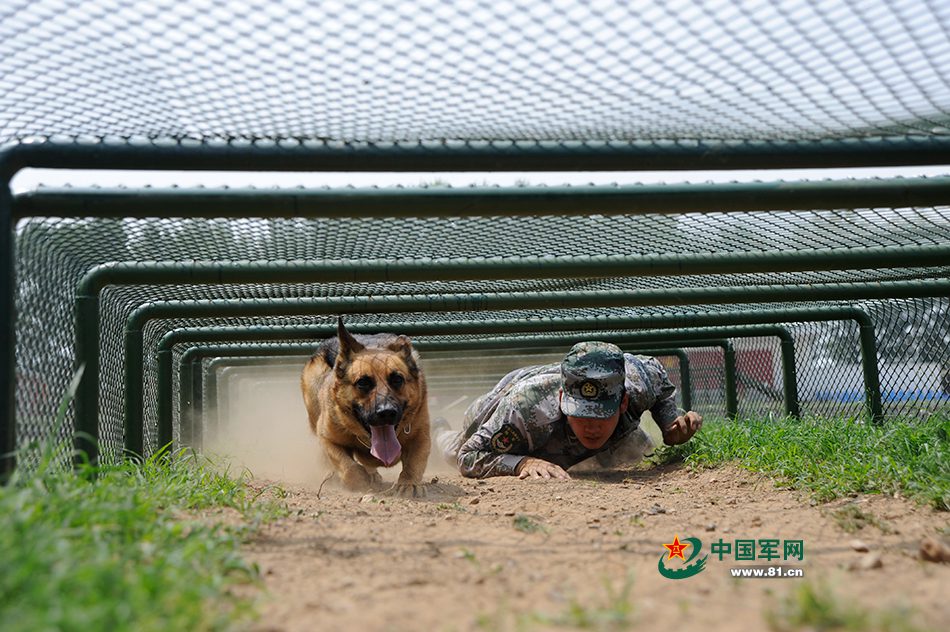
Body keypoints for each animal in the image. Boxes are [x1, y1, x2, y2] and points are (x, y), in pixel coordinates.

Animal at [302, 318, 432, 496]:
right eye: (363, 382)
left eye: (397, 379)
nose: (386, 412)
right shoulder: (327, 439)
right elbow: (347, 466)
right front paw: (359, 480)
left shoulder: (421, 437)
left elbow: (414, 462)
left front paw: (409, 484)